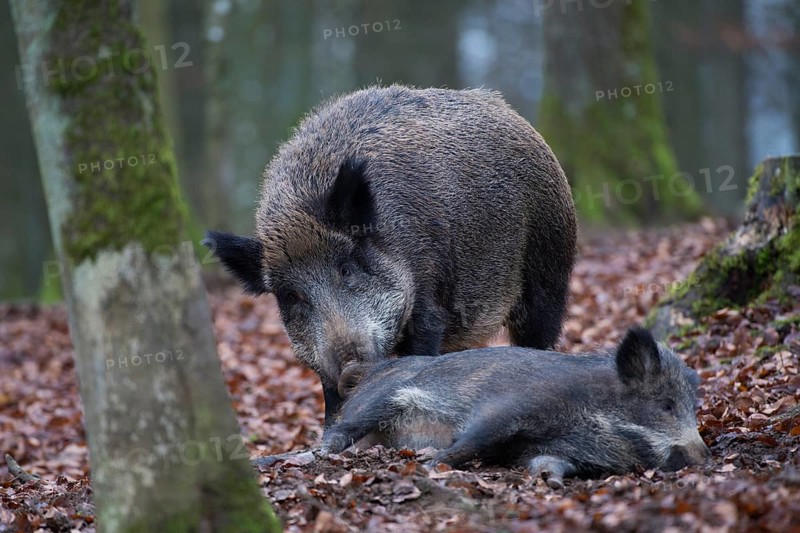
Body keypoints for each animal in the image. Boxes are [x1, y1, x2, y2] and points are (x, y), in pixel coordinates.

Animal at [205, 85, 577, 426]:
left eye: (346, 269)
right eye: (290, 296)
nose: (351, 367)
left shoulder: (428, 300)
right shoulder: (318, 353)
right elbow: (329, 395)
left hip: (549, 269)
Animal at [320, 327, 710, 487]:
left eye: (694, 408)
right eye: (666, 405)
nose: (702, 455)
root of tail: (372, 369)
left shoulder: (552, 450)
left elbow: (548, 463)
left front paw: (552, 483)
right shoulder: (508, 408)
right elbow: (471, 441)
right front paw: (430, 467)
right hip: (377, 401)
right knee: (337, 433)